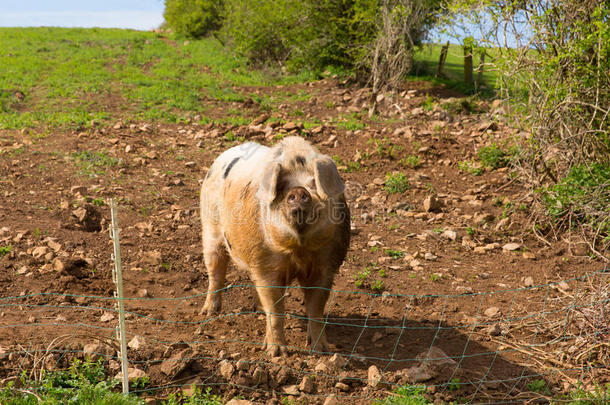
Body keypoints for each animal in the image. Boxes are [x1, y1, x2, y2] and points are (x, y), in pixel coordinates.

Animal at [200, 136, 350, 354]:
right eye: (283, 186)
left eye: (313, 184)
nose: (298, 191)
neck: (299, 249)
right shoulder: (265, 264)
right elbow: (276, 310)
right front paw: (276, 353)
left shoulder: (326, 265)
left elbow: (315, 310)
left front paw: (322, 350)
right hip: (210, 230)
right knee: (215, 272)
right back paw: (209, 313)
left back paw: (256, 309)